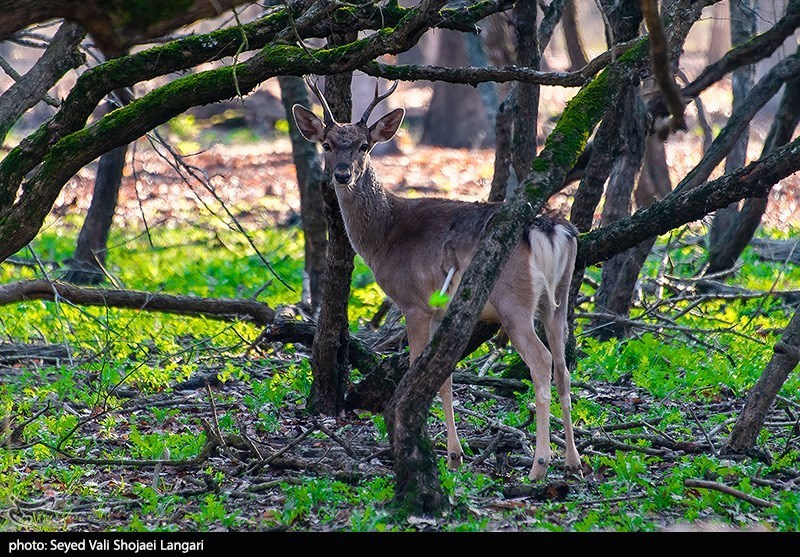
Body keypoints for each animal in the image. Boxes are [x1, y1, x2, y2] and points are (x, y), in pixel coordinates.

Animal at [294, 80, 580, 480]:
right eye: (328, 144)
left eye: (365, 145)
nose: (342, 174)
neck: (385, 237)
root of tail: (549, 228)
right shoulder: (441, 309)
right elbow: (443, 380)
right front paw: (454, 456)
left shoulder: (414, 302)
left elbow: (416, 373)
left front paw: (417, 450)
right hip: (560, 297)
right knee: (564, 368)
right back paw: (574, 460)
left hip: (514, 301)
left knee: (541, 363)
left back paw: (539, 465)